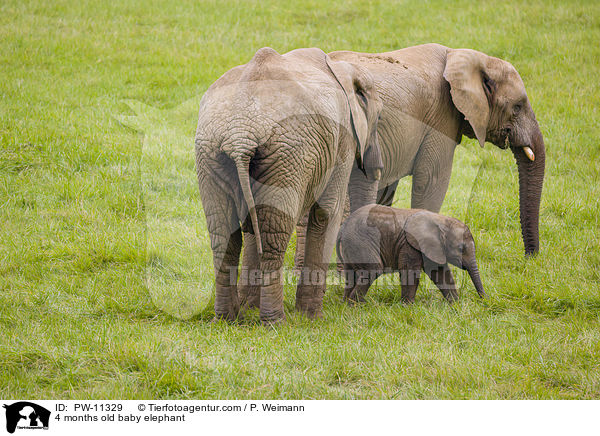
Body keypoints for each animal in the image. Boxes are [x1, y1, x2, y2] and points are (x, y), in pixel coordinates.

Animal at [197, 46, 384, 324]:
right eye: (378, 117)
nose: (350, 303)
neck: (339, 65)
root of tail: (240, 134)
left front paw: (249, 307)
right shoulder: (342, 141)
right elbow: (326, 214)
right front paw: (312, 318)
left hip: (212, 153)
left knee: (223, 236)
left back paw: (225, 319)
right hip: (286, 155)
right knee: (272, 238)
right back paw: (276, 322)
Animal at [298, 43, 548, 262]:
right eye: (517, 107)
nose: (530, 258)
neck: (463, 56)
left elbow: (387, 192)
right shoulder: (441, 118)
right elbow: (432, 181)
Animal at [338, 204, 488, 304]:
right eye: (461, 248)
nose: (484, 301)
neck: (441, 221)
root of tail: (343, 227)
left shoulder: (432, 247)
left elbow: (440, 273)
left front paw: (455, 304)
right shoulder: (410, 244)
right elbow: (410, 271)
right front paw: (408, 306)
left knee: (351, 273)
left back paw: (346, 304)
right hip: (359, 242)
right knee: (373, 270)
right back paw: (358, 305)